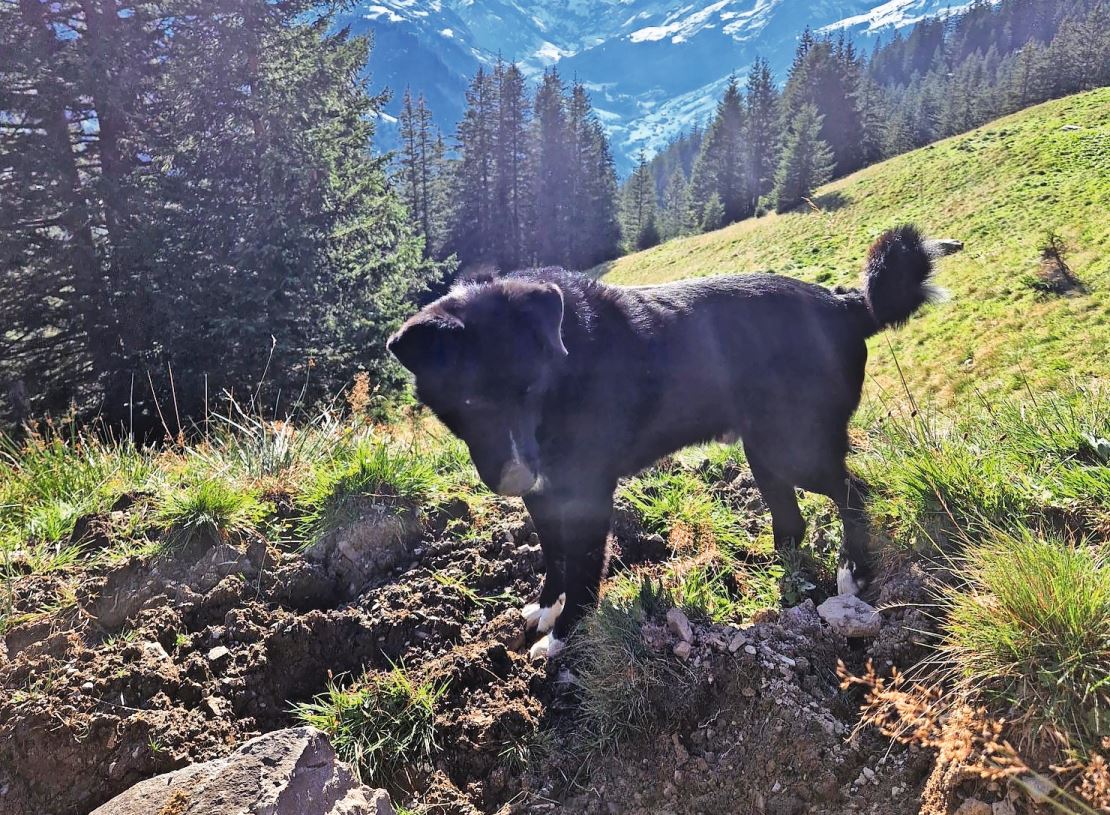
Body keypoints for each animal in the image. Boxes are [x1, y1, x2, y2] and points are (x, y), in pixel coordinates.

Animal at [390, 226, 963, 661]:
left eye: (530, 388)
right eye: (466, 402)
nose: (513, 476)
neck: (567, 363)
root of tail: (842, 302)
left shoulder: (587, 494)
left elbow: (583, 569)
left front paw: (562, 636)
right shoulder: (544, 492)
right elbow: (554, 557)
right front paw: (545, 608)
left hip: (794, 446)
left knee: (855, 492)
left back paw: (853, 573)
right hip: (763, 448)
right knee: (793, 522)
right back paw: (781, 579)